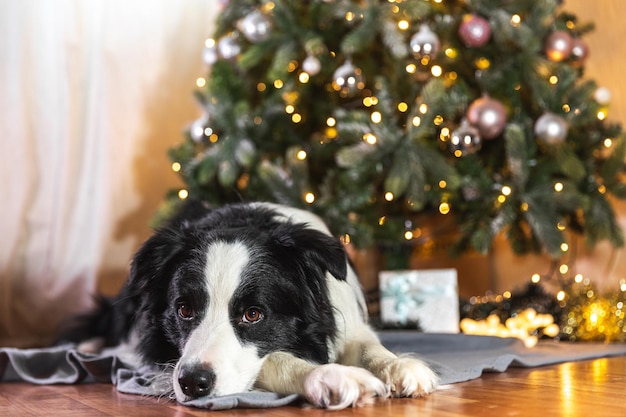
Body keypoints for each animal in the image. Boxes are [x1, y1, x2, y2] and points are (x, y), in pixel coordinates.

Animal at [68, 202, 436, 410]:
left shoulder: (348, 324)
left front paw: (400, 366)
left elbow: (368, 347)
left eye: (253, 314)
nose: (192, 383)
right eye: (184, 309)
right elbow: (275, 360)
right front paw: (334, 376)